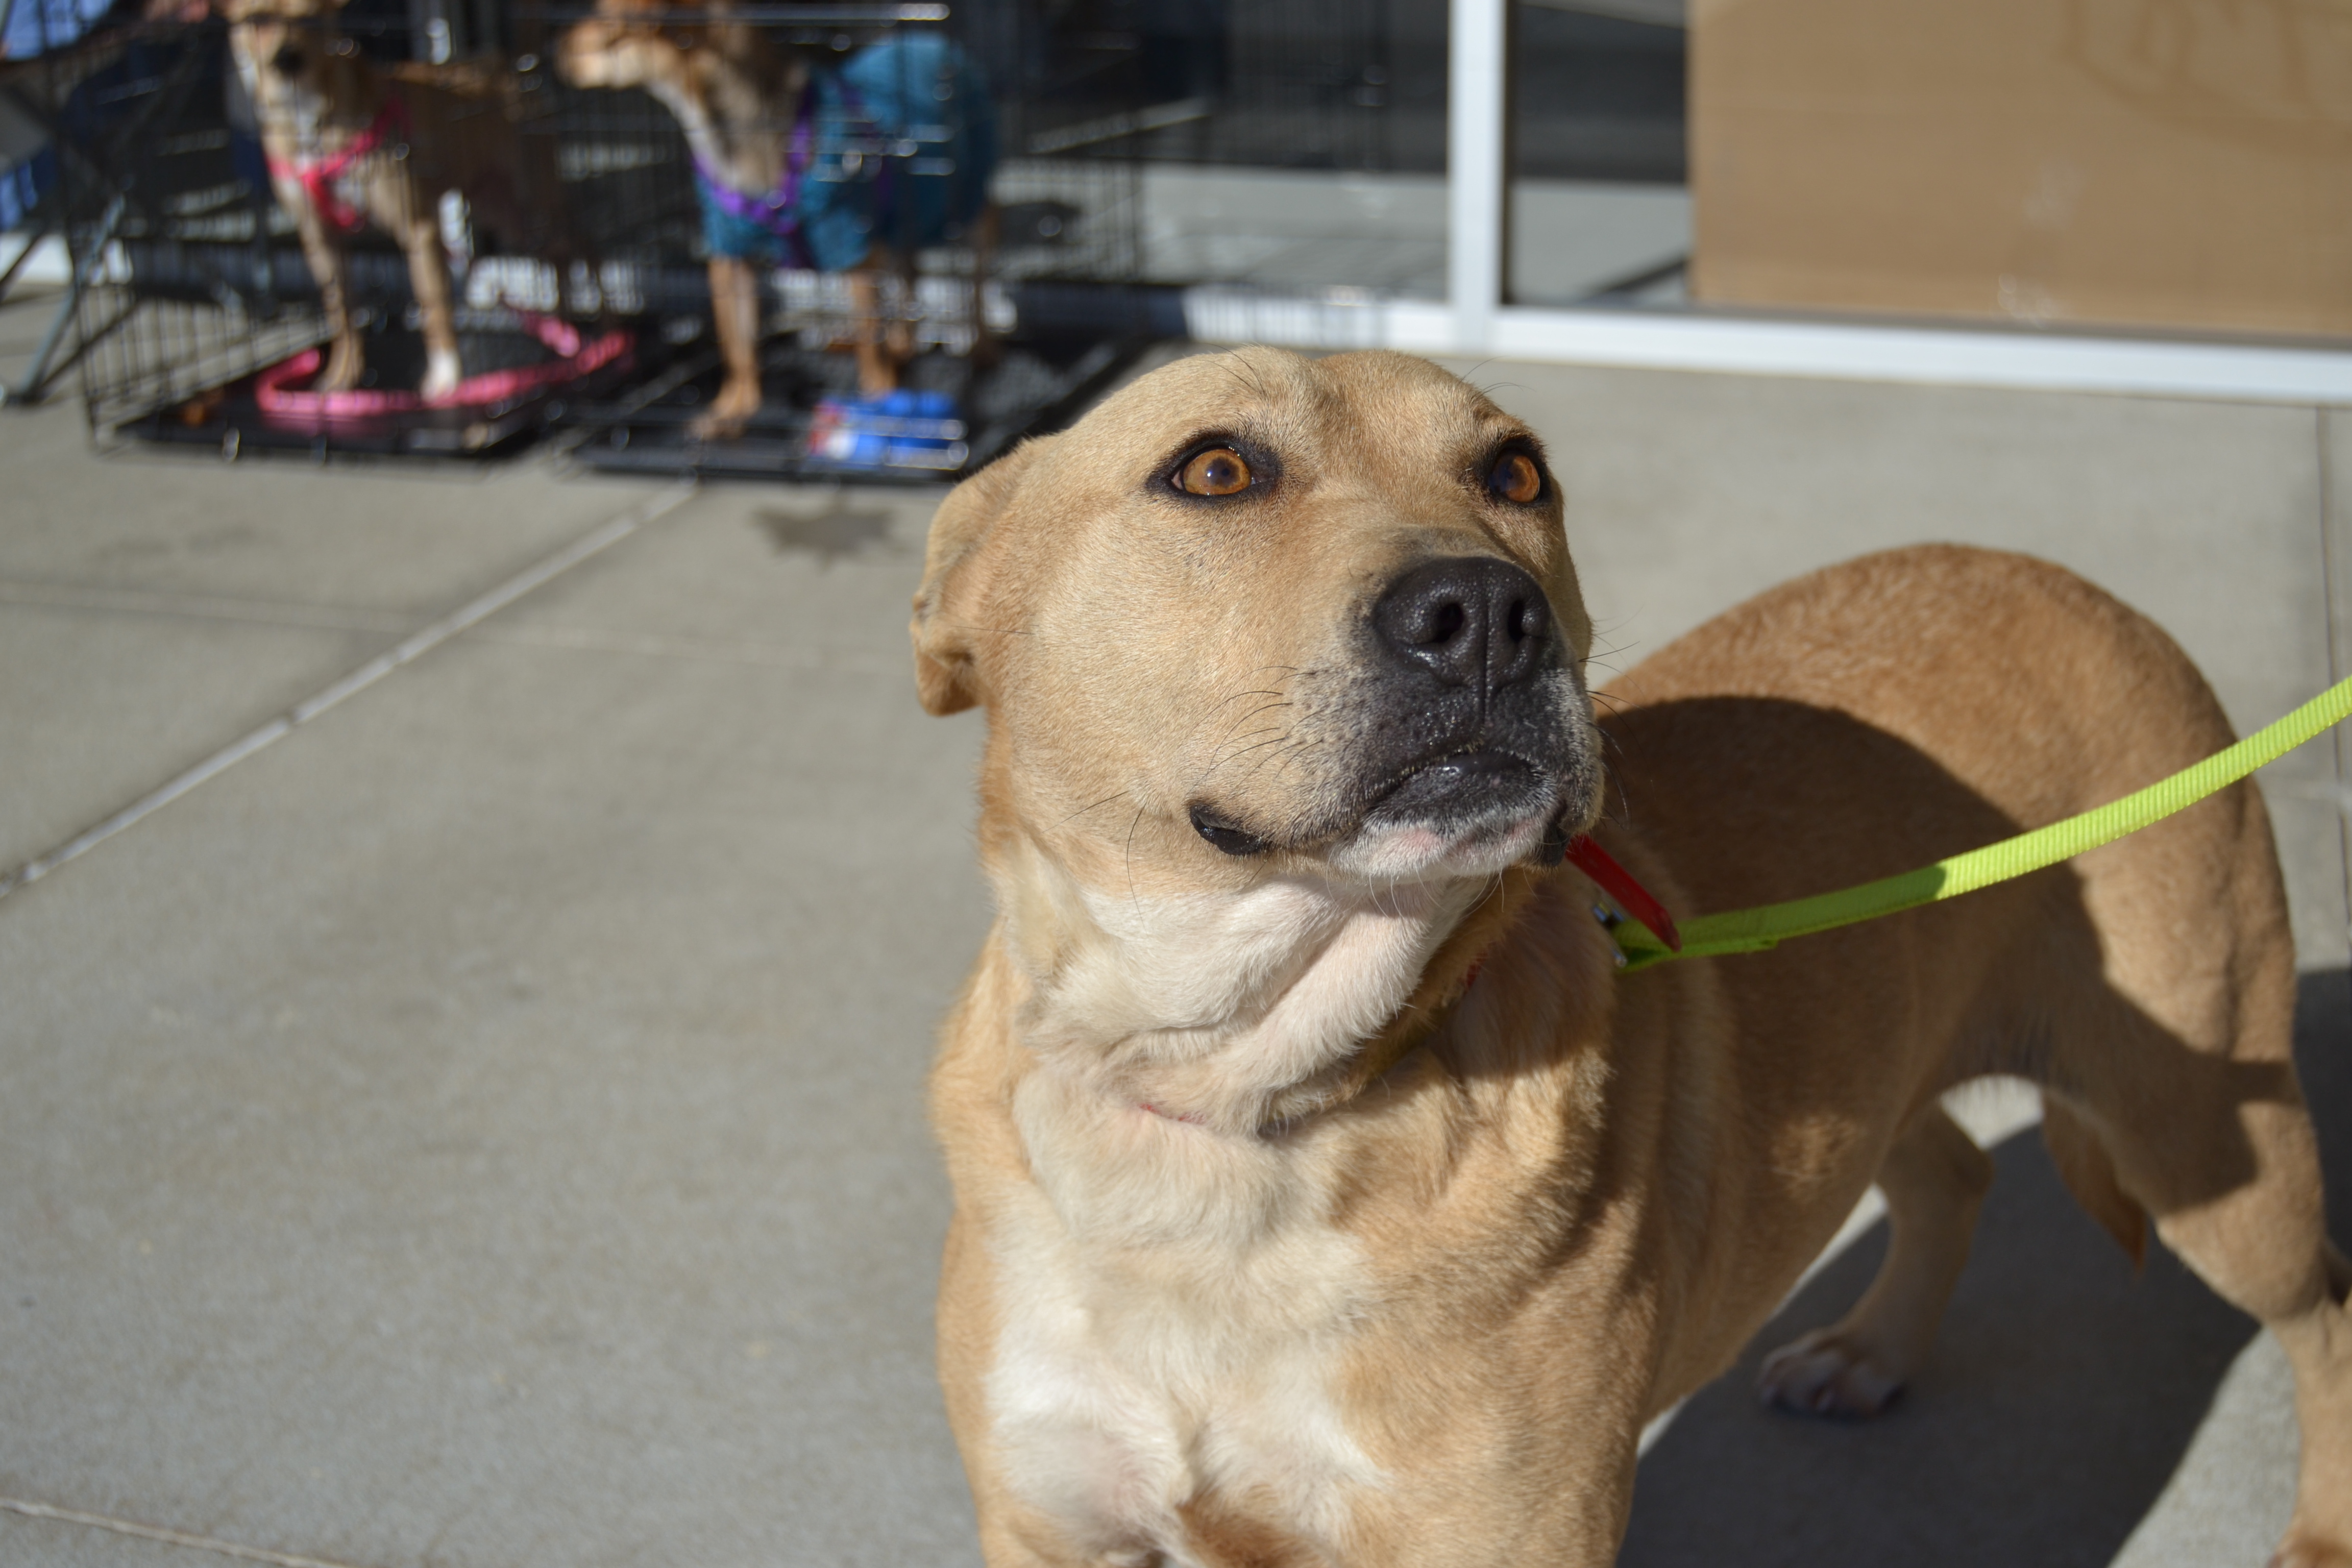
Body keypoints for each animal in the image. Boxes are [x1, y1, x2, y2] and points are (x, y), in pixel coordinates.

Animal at [222, 0, 571, 399]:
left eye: (310, 17)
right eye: (255, 20)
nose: (287, 57)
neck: (308, 122)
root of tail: (514, 64)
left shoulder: (419, 229)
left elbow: (433, 304)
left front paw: (446, 378)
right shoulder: (319, 239)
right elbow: (341, 310)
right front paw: (343, 377)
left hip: (537, 200)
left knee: (577, 249)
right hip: (500, 207)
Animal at [559, 3, 1002, 442]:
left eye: (613, 27)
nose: (557, 49)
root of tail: (933, 39)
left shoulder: (852, 247)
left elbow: (867, 339)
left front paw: (879, 402)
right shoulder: (730, 255)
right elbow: (736, 344)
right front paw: (734, 409)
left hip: (966, 201)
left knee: (975, 281)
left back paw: (979, 348)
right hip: (904, 221)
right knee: (907, 274)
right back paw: (902, 345)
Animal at [908, 350, 2342, 1568]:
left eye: (1516, 473)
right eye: (1214, 470)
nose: (1491, 610)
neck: (1235, 1103)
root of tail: (2077, 585)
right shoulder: (1052, 1526)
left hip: (2206, 1138)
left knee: (2321, 1306)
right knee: (1951, 1168)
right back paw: (1873, 1350)